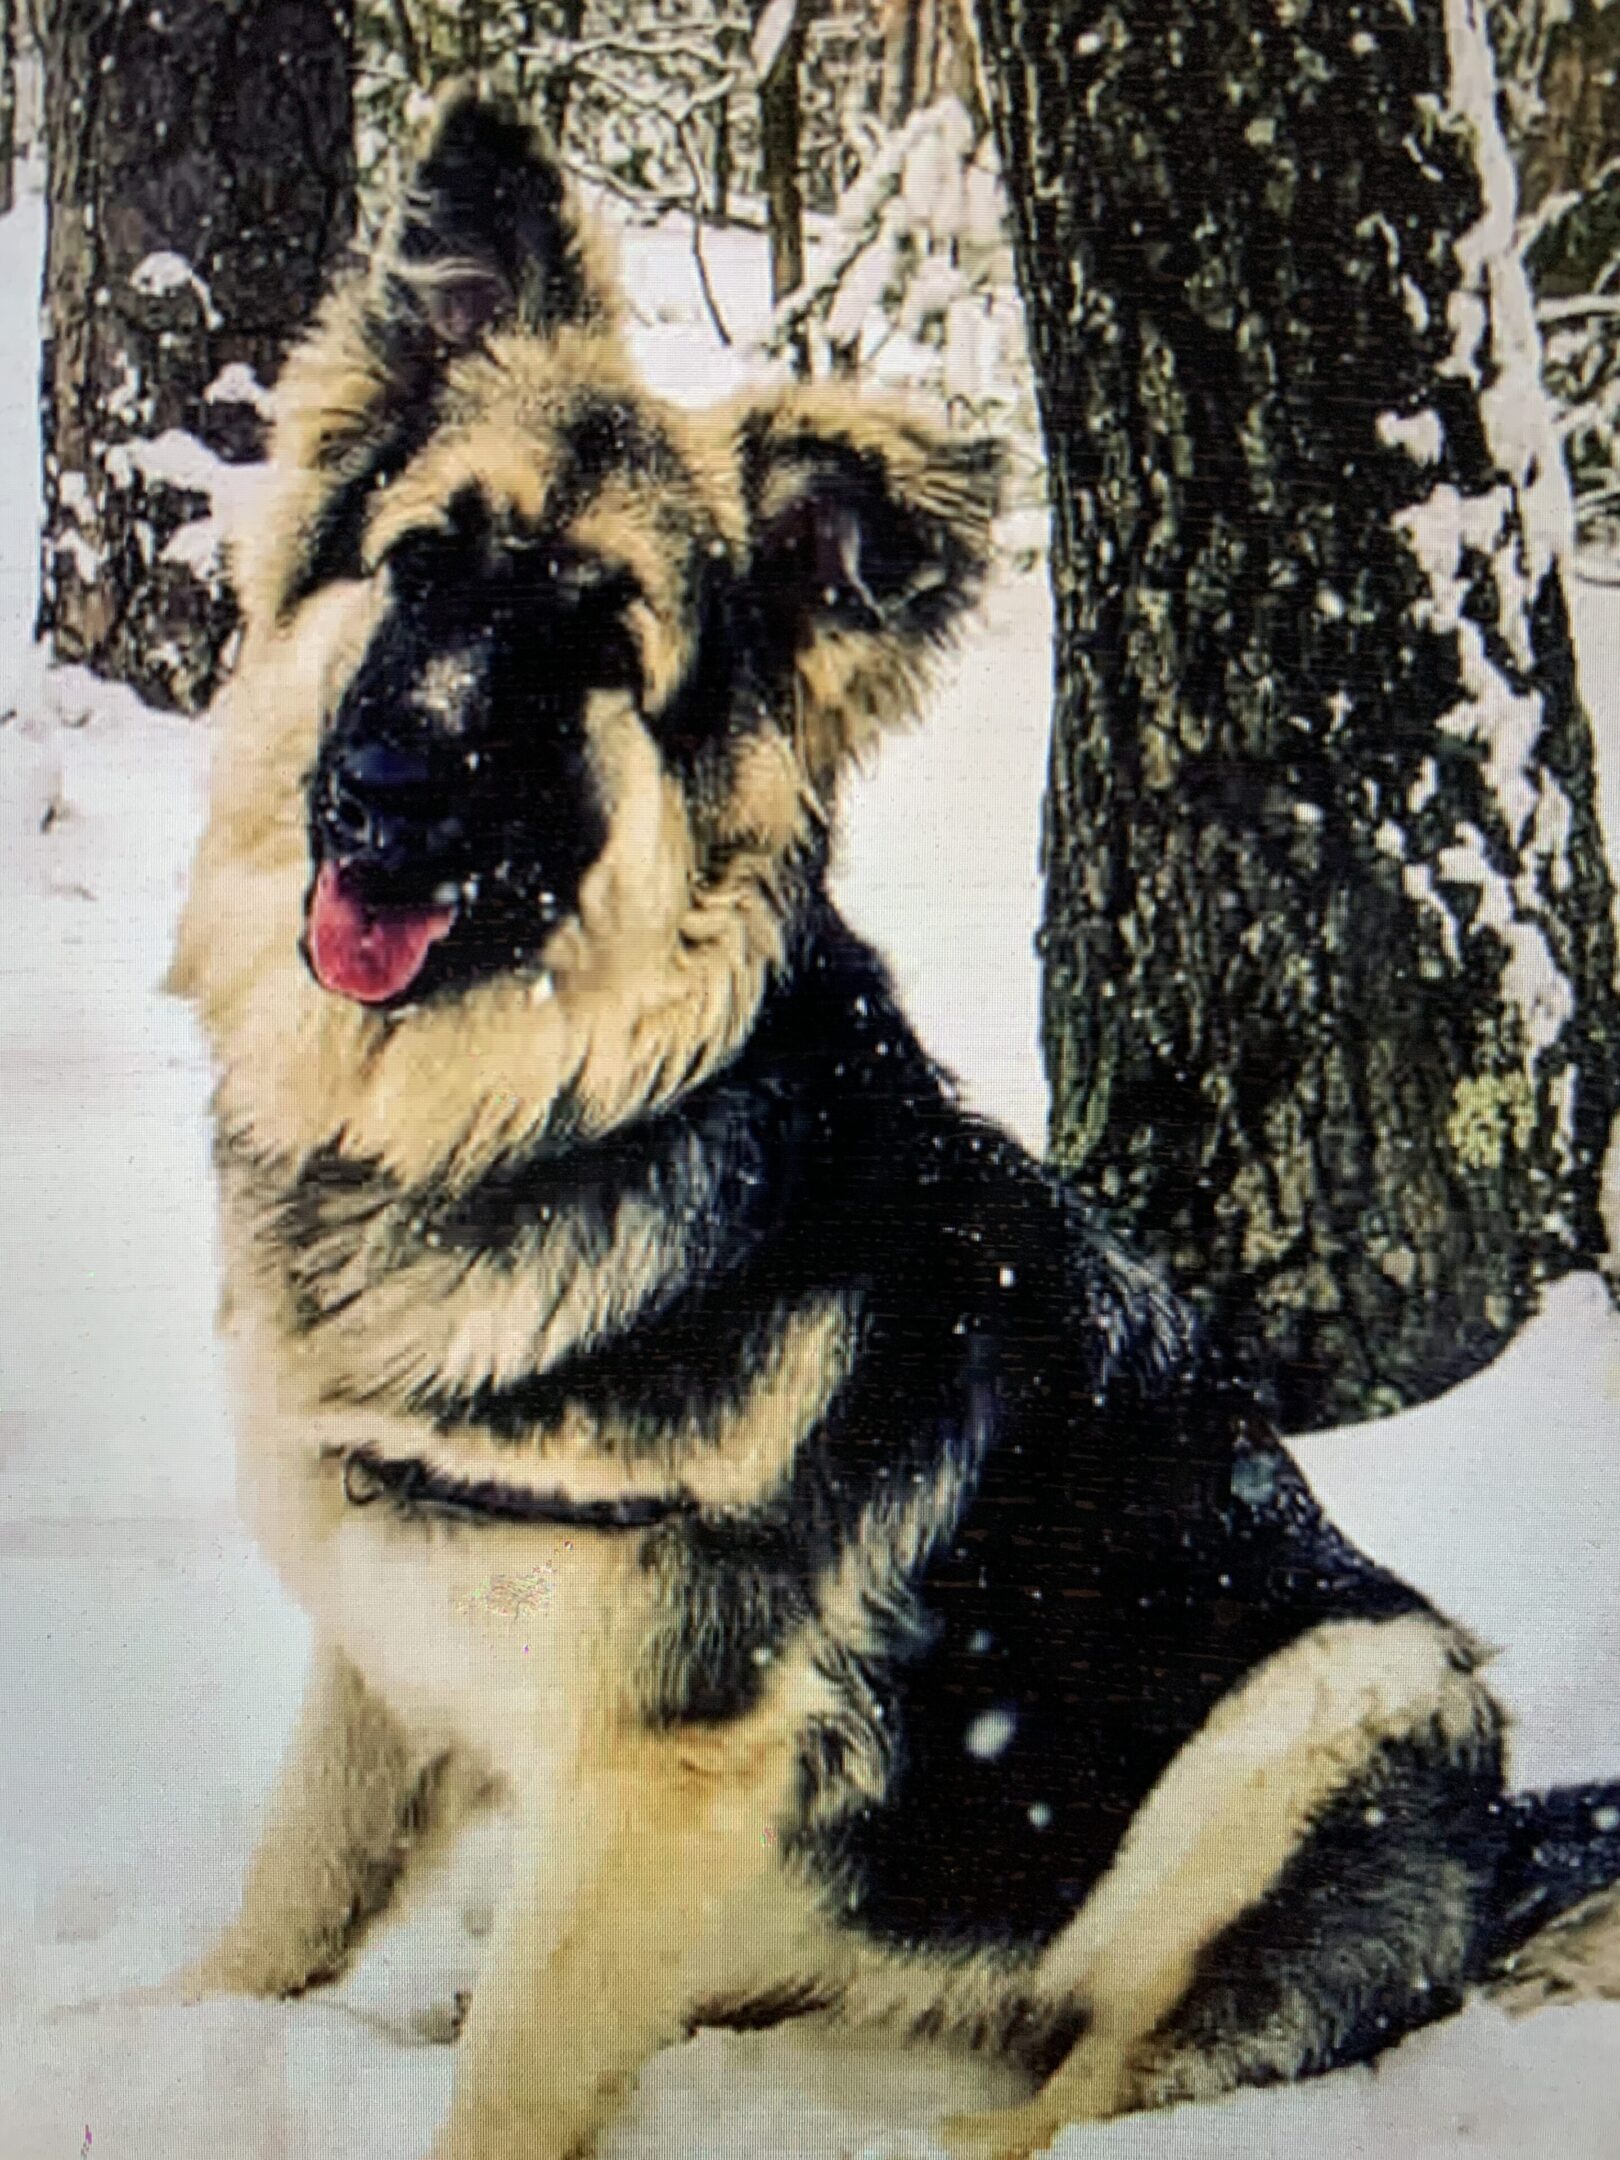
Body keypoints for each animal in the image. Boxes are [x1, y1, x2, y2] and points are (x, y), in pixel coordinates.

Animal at [174, 92, 1620, 2160]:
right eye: (426, 564)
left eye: (600, 647)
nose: (382, 792)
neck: (539, 1112)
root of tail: (1497, 1858)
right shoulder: (388, 1650)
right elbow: (285, 1912)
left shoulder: (662, 1760)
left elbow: (514, 2077)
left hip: (1334, 1699)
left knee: (1085, 2096)